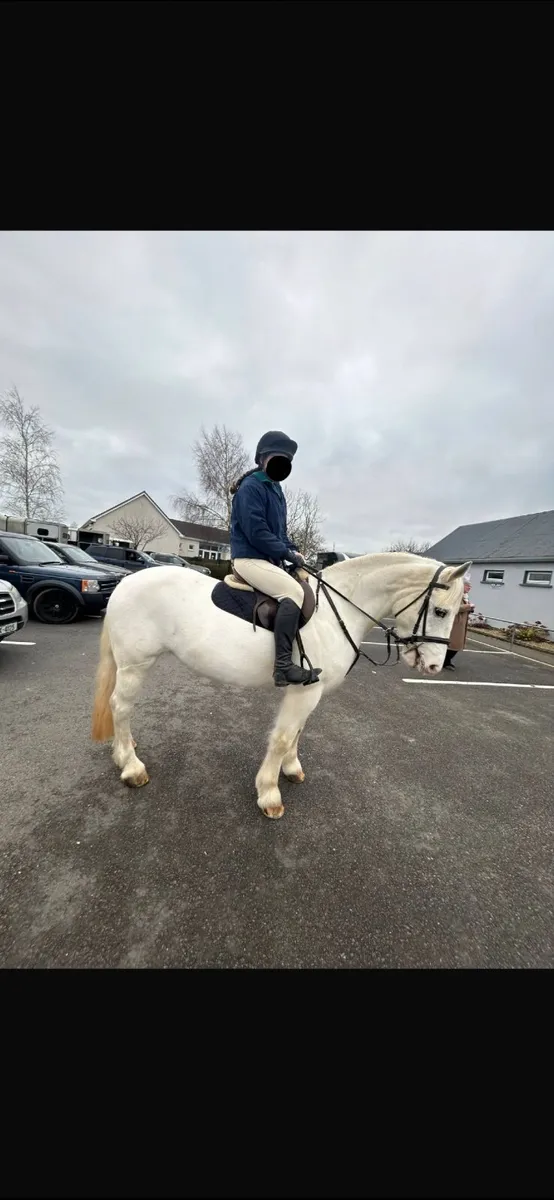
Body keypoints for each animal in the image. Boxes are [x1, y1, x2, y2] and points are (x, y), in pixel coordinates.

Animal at [91, 553, 471, 819]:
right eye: (440, 612)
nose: (434, 666)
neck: (337, 613)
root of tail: (126, 583)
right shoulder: (304, 690)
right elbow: (284, 737)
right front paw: (269, 794)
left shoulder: (311, 693)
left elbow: (299, 732)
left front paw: (291, 769)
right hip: (136, 664)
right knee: (120, 706)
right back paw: (131, 766)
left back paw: (124, 749)